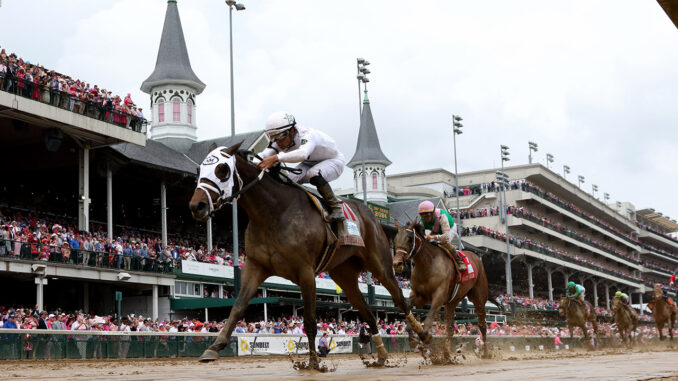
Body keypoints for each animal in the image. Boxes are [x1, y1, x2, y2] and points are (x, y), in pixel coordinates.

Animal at [190, 144, 424, 366]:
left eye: (222, 170)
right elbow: (237, 307)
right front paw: (214, 347)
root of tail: (370, 214)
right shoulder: (255, 265)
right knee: (368, 313)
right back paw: (382, 355)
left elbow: (310, 320)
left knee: (400, 299)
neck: (273, 212)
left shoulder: (306, 271)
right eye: (199, 169)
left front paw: (312, 361)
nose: (196, 206)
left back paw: (421, 336)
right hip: (344, 275)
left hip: (380, 264)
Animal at [394, 218, 488, 358]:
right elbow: (408, 315)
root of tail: (476, 257)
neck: (428, 265)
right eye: (395, 239)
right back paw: (446, 354)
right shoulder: (419, 296)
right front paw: (413, 339)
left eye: (410, 239)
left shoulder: (438, 297)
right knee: (450, 329)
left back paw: (486, 353)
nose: (397, 264)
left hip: (479, 298)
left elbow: (428, 321)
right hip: (452, 303)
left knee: (482, 325)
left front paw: (425, 339)